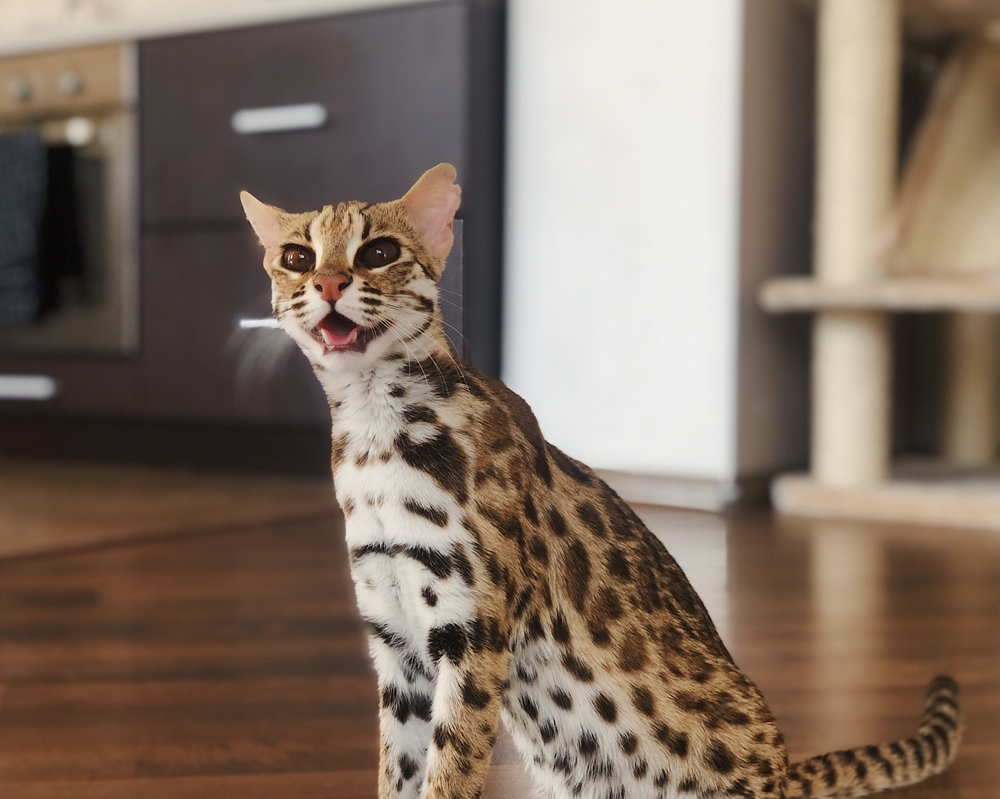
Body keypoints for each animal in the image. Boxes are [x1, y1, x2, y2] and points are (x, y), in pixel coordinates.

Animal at [240, 164, 960, 799]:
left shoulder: (472, 631)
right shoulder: (395, 638)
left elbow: (451, 770)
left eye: (379, 251)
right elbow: (400, 768)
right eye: (298, 256)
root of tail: (784, 772)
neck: (375, 440)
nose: (329, 283)